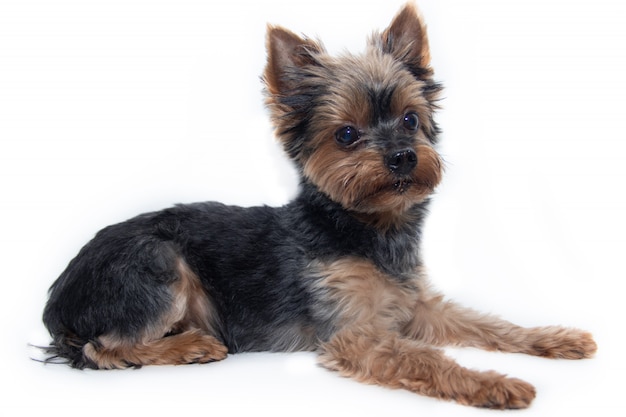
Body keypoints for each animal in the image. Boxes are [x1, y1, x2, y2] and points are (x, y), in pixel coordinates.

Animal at [41, 1, 596, 408]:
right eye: (347, 135)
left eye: (411, 120)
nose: (403, 156)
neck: (368, 228)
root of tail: (56, 301)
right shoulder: (356, 334)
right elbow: (427, 360)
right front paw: (494, 384)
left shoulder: (415, 305)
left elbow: (491, 324)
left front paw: (554, 339)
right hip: (156, 263)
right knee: (102, 347)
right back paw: (191, 344)